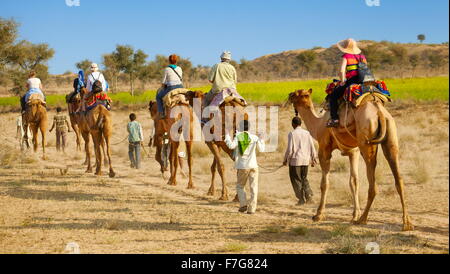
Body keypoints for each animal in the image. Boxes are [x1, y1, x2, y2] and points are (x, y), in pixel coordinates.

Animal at [290, 89, 414, 230]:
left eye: (297, 94)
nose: (289, 95)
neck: (318, 125)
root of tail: (380, 113)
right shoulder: (353, 152)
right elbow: (354, 181)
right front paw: (354, 214)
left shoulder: (324, 150)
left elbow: (324, 184)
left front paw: (318, 215)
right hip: (391, 134)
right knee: (398, 177)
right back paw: (406, 223)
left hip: (367, 139)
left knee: (373, 182)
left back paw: (362, 219)